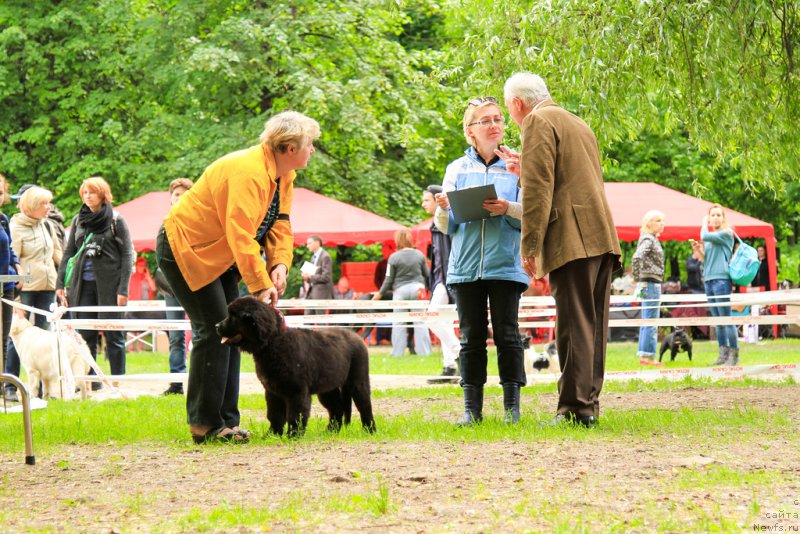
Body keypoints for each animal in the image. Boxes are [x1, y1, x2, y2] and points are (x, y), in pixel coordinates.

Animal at [212, 298, 376, 440]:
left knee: (364, 406)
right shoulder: (272, 390)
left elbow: (295, 415)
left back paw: (370, 430)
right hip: (328, 388)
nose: (216, 326)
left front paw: (293, 435)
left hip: (358, 380)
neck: (273, 344)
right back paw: (330, 431)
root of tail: (355, 334)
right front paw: (272, 435)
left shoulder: (296, 391)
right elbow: (275, 415)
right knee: (337, 408)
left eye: (233, 316)